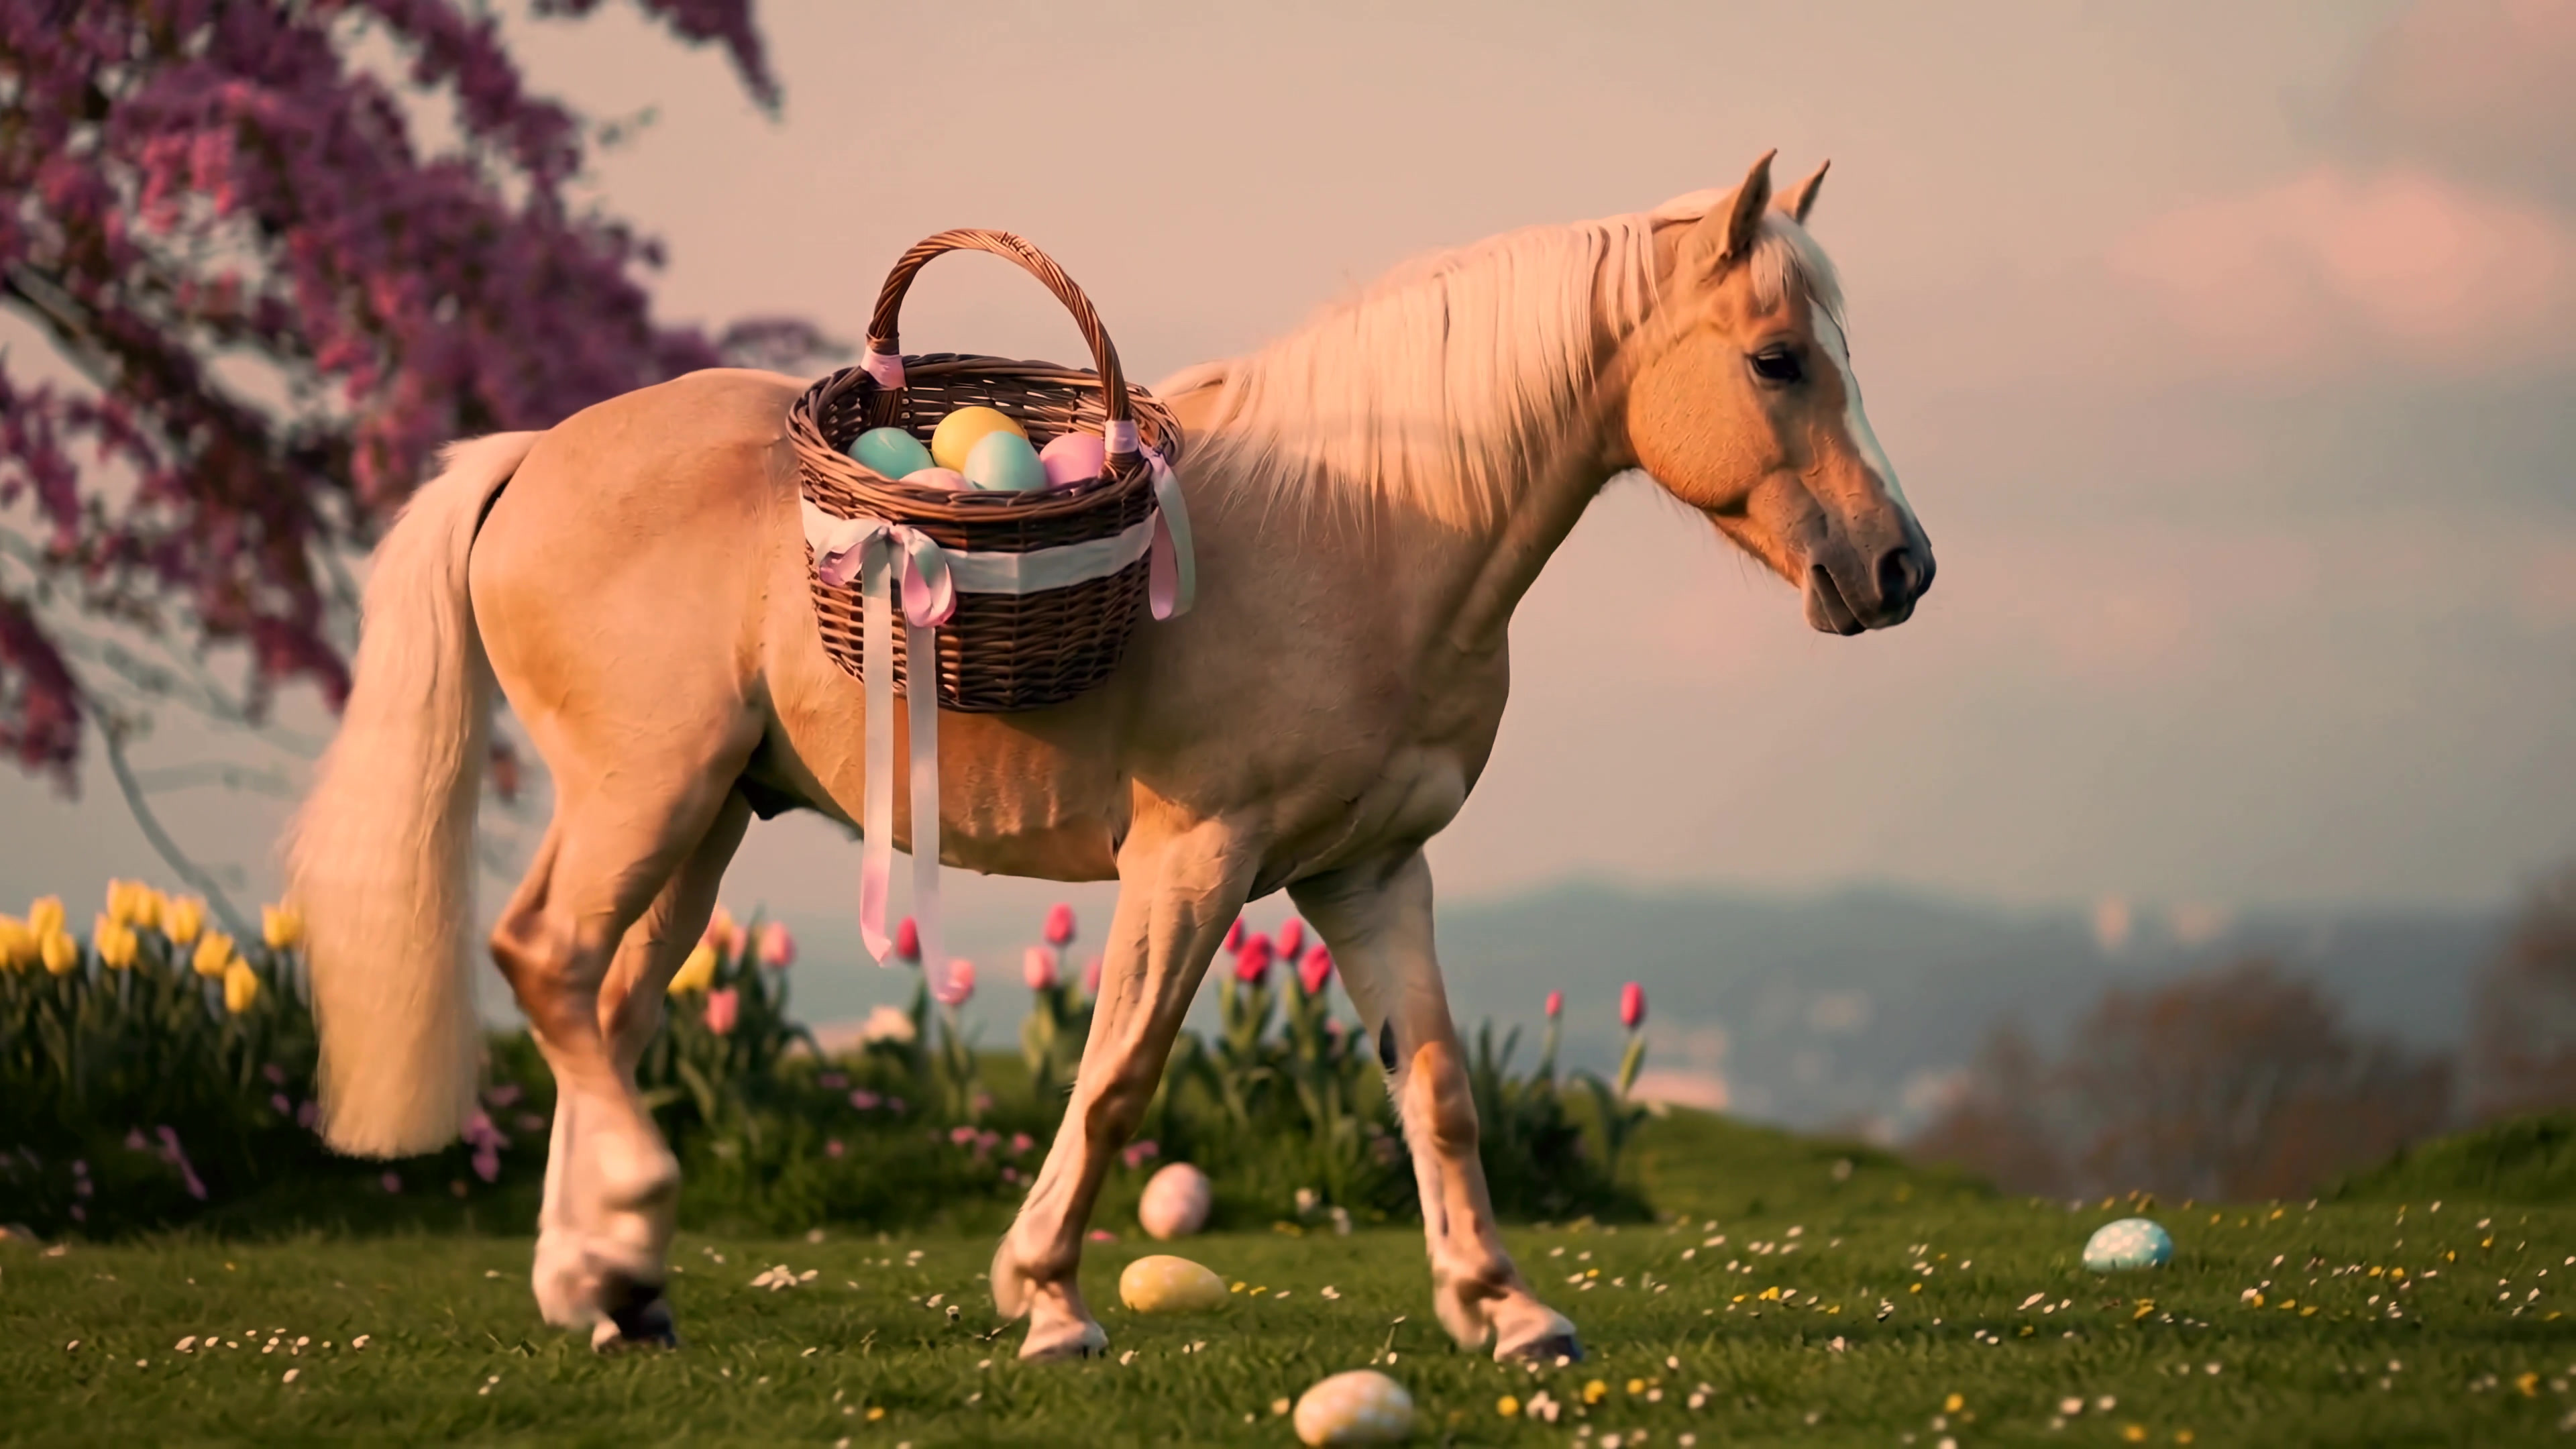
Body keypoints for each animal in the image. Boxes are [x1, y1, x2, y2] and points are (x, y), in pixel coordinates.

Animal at [285, 149, 1934, 1363]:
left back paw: (614, 1287)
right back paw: (624, 1231)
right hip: (649, 798)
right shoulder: (1195, 866)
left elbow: (1439, 1087)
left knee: (610, 1005)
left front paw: (1504, 1309)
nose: (1901, 567)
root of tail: (525, 458)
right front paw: (1047, 1300)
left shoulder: (1372, 874)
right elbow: (1120, 1072)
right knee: (546, 961)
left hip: (706, 823)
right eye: (1779, 359)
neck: (1372, 534)